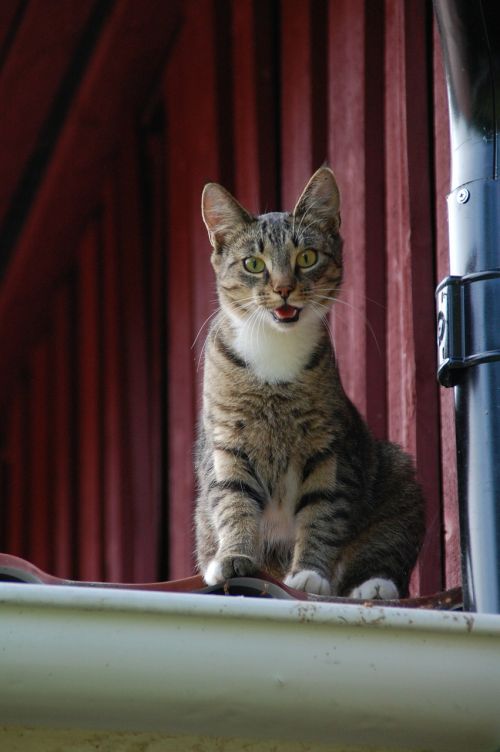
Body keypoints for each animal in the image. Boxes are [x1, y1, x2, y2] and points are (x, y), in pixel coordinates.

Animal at [193, 166, 424, 600]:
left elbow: (324, 508)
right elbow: (233, 500)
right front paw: (234, 557)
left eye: (307, 257)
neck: (274, 351)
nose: (284, 289)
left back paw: (374, 585)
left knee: (385, 548)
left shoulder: (328, 447)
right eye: (253, 263)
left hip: (398, 476)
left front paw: (309, 573)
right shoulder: (228, 441)